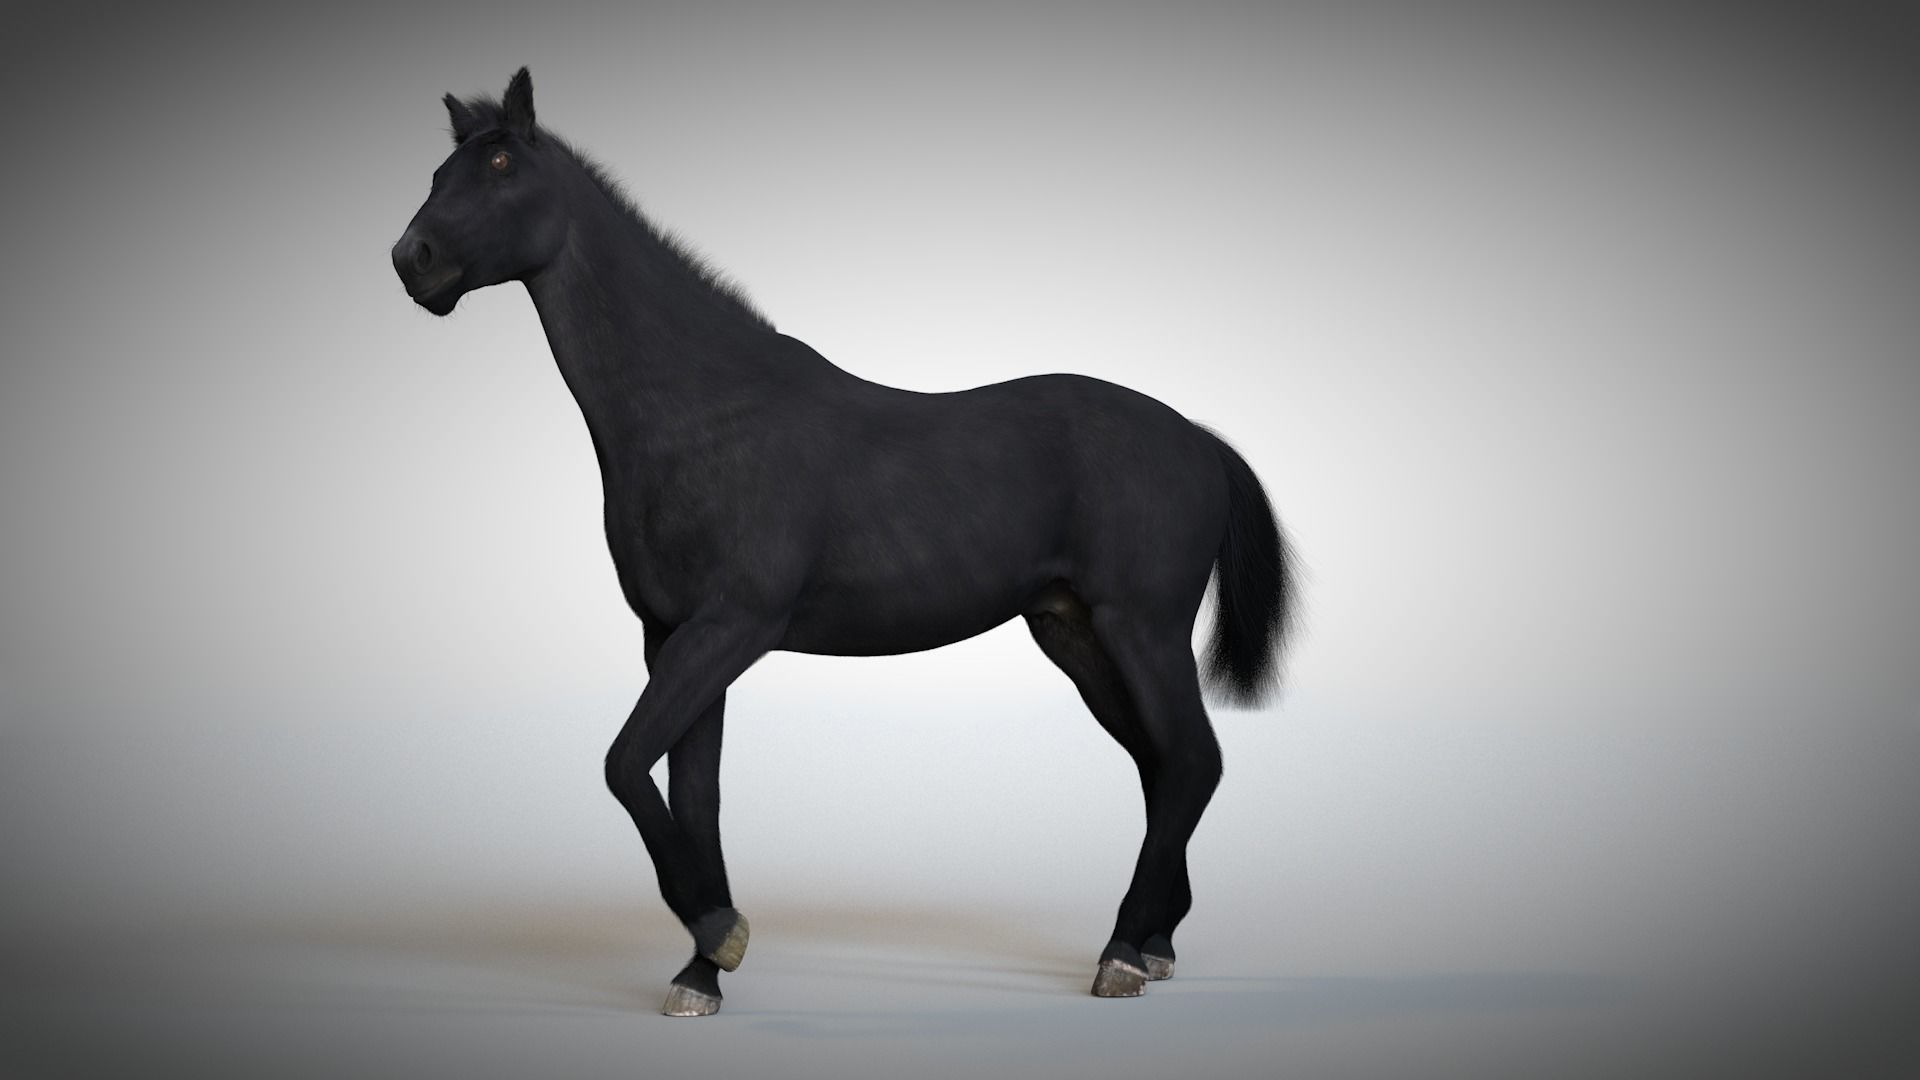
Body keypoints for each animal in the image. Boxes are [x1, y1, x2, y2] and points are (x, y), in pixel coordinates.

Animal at [391, 67, 1296, 1017]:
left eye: (499, 164)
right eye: (440, 170)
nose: (413, 259)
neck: (704, 412)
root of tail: (1198, 440)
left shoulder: (731, 628)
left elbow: (624, 764)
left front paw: (721, 932)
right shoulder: (670, 636)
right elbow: (692, 795)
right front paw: (700, 971)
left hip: (1141, 630)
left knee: (1191, 761)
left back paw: (1120, 954)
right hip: (1076, 636)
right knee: (1165, 767)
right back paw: (1155, 943)